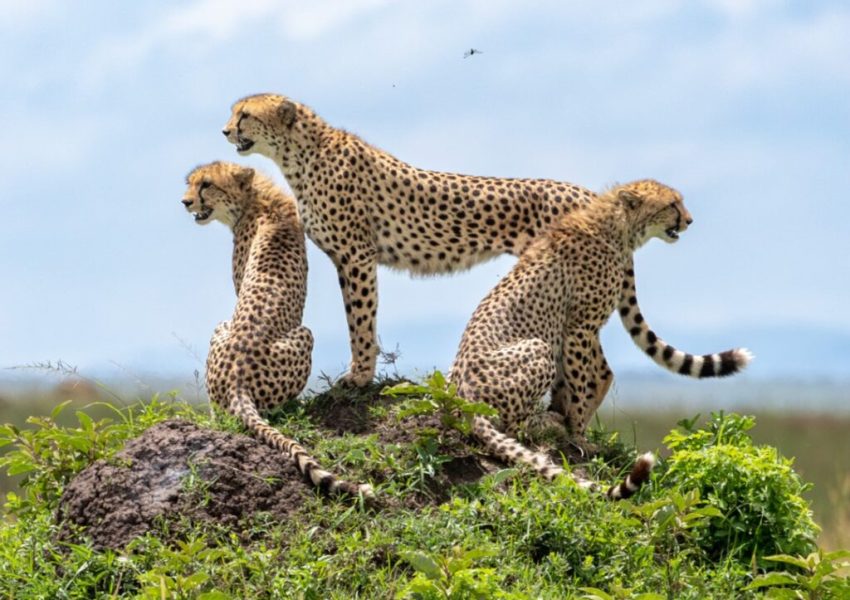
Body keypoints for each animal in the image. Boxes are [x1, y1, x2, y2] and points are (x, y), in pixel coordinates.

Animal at [182, 161, 372, 498]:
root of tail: (237, 381)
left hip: (294, 333)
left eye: (206, 185)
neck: (258, 199)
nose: (185, 202)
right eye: (191, 183)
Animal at [222, 93, 743, 389]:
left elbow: (361, 322)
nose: (225, 129)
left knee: (598, 366)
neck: (300, 153)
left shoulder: (357, 257)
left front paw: (359, 377)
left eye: (245, 114)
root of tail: (586, 193)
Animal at [448, 179, 752, 499]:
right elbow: (581, 384)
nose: (689, 221)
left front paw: (573, 424)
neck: (616, 227)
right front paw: (579, 436)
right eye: (672, 204)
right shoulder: (580, 327)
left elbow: (577, 382)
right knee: (513, 426)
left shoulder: (573, 330)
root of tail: (464, 398)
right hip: (537, 348)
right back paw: (545, 424)